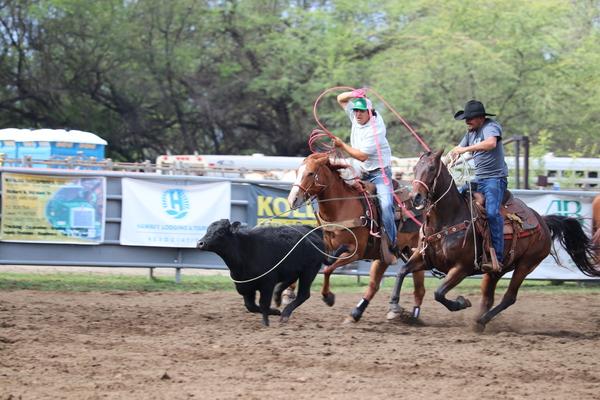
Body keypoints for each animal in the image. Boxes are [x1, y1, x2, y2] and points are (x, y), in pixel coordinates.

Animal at [288, 152, 424, 322]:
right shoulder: (328, 247)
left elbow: (328, 269)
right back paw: (364, 312)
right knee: (380, 283)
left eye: (311, 173)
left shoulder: (355, 253)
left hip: (414, 250)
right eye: (297, 172)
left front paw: (328, 297)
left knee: (416, 281)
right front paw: (289, 292)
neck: (341, 206)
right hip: (388, 255)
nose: (292, 199)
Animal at [390, 150, 600, 332]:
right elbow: (402, 271)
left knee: (509, 297)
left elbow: (439, 293)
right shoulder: (424, 258)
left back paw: (480, 321)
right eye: (415, 168)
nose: (415, 197)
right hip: (496, 270)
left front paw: (461, 303)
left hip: (526, 264)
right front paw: (394, 308)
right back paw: (480, 319)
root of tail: (542, 220)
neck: (449, 219)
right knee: (488, 297)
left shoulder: (462, 268)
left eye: (432, 168)